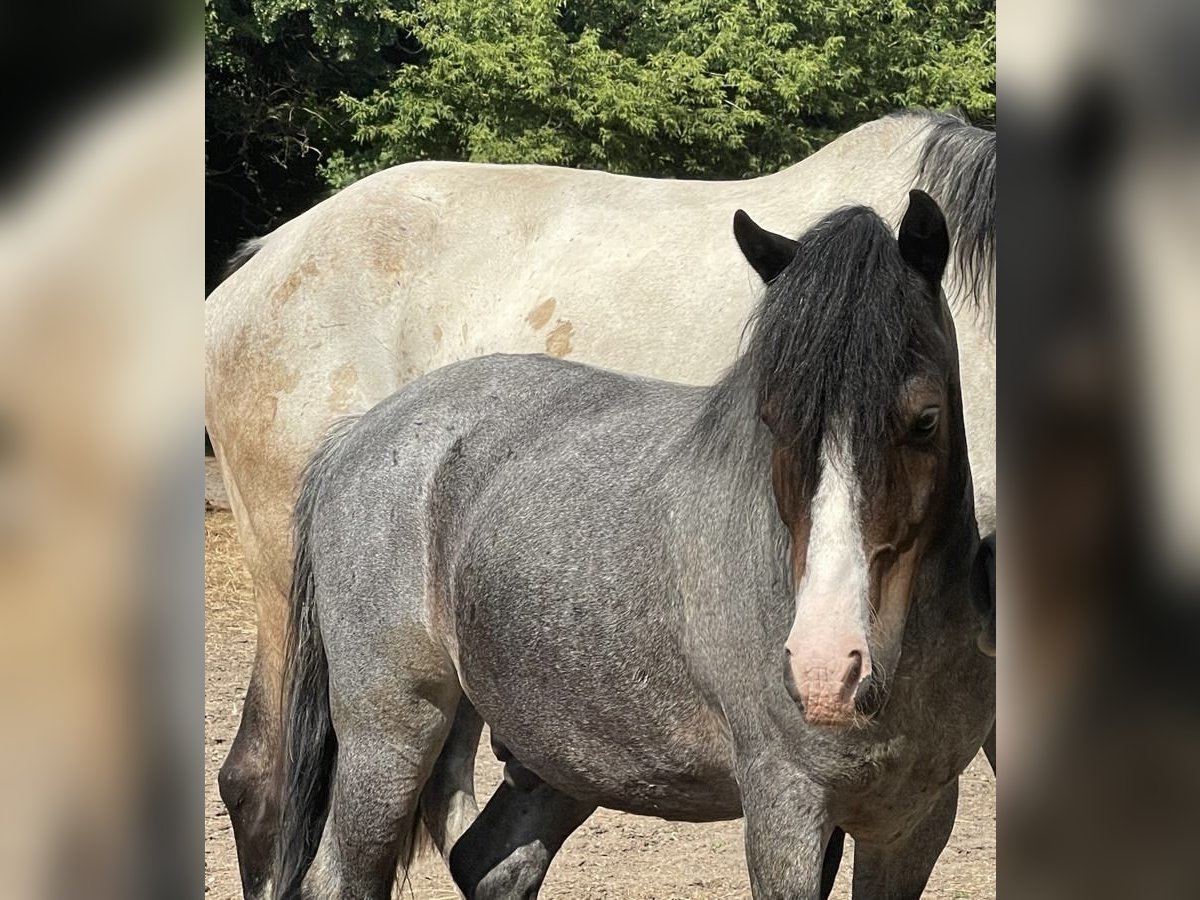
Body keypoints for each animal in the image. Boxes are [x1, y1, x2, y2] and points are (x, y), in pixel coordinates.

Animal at [204, 111, 993, 897]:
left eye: (926, 419)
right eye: (770, 417)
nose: (828, 668)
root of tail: (357, 437)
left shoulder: (912, 820)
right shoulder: (787, 808)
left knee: (486, 859)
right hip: (387, 726)